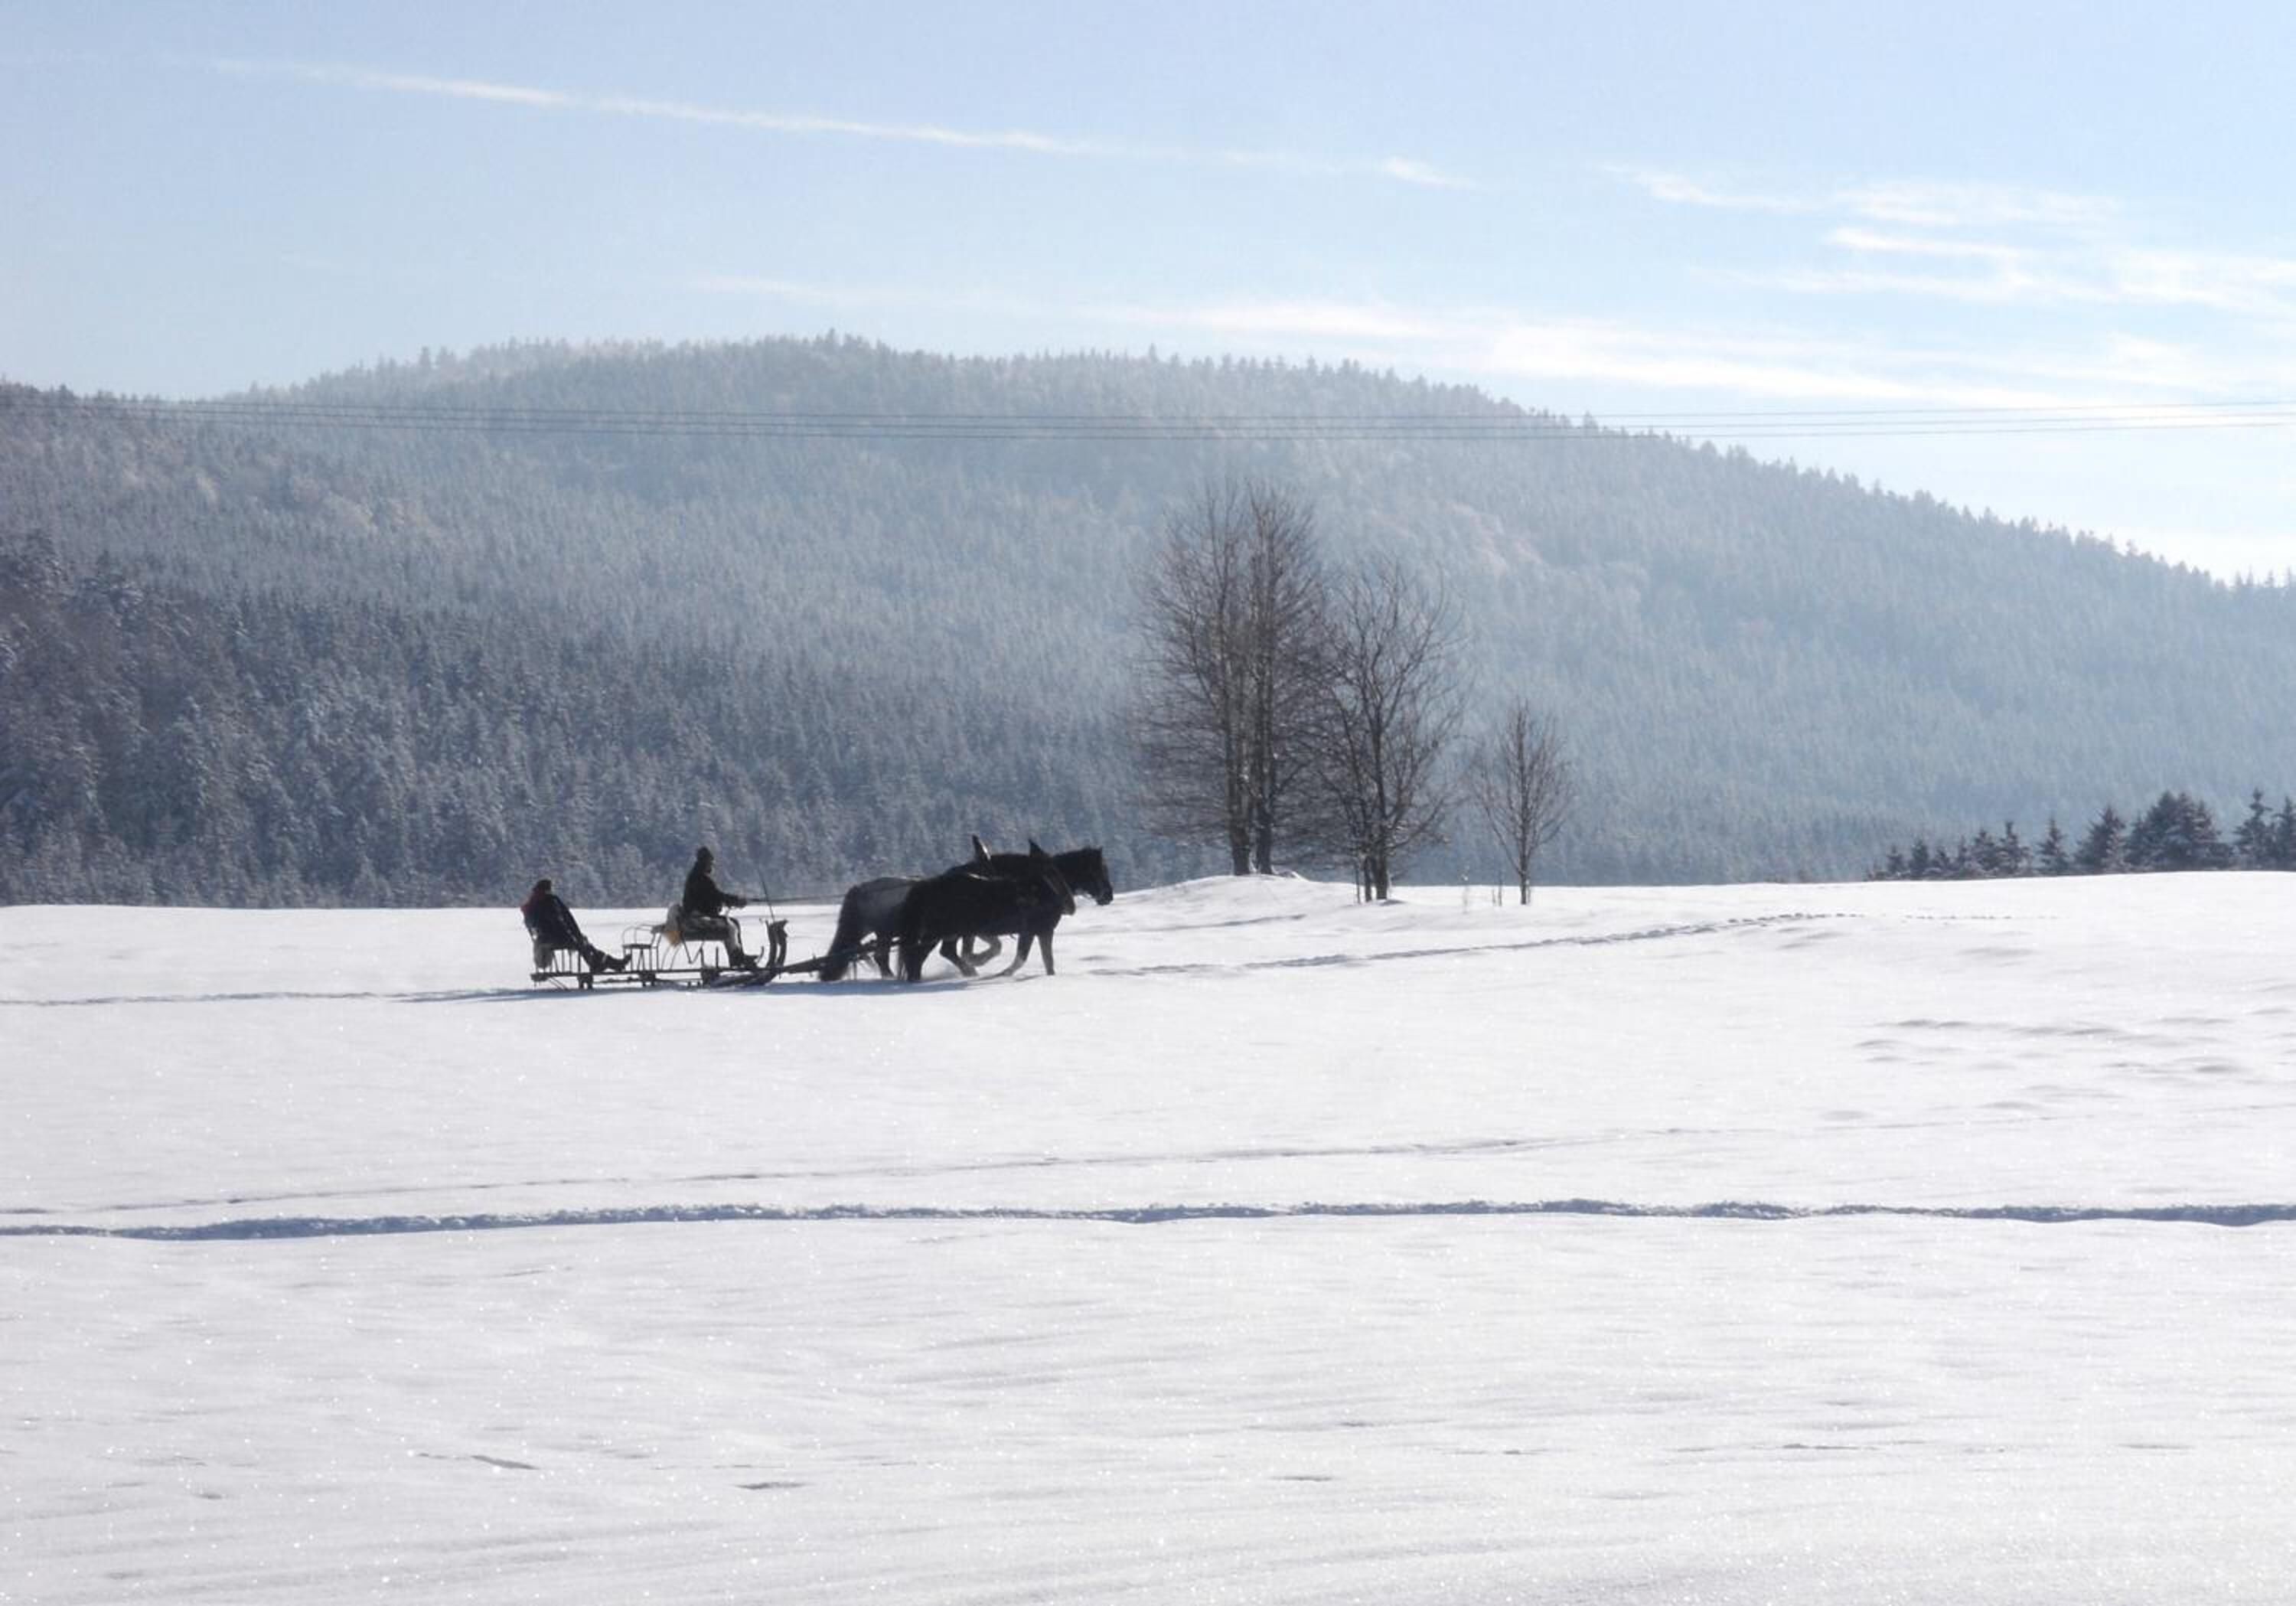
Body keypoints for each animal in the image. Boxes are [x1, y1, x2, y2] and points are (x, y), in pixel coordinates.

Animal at [898, 844, 1076, 982]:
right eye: (1050, 872)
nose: (1070, 906)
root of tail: (929, 885)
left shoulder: (1037, 931)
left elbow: (1047, 962)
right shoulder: (1037, 930)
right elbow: (1026, 958)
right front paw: (999, 971)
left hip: (948, 933)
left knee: (938, 952)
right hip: (939, 932)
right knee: (920, 955)